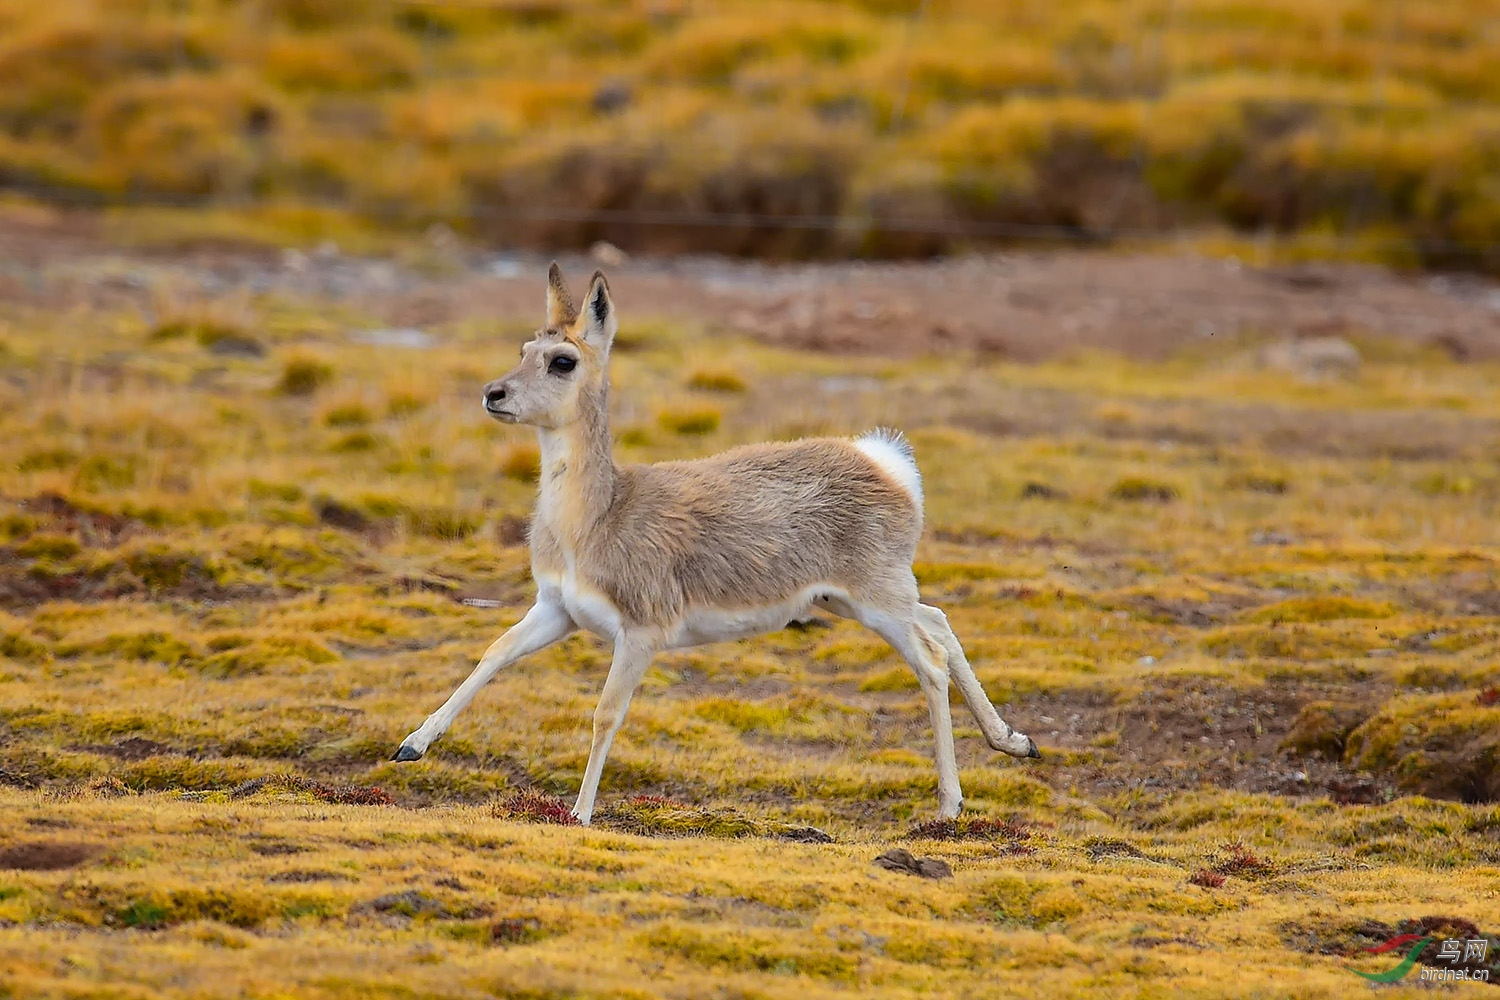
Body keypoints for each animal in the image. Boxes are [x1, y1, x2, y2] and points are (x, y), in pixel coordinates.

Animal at [393, 263, 1038, 821]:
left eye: (562, 360)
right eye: (524, 349)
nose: (493, 394)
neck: (596, 518)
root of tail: (884, 462)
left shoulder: (641, 634)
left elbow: (605, 713)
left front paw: (578, 813)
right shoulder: (558, 611)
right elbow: (495, 651)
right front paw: (411, 746)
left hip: (877, 602)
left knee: (929, 660)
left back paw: (951, 805)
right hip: (850, 601)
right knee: (941, 623)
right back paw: (1016, 742)